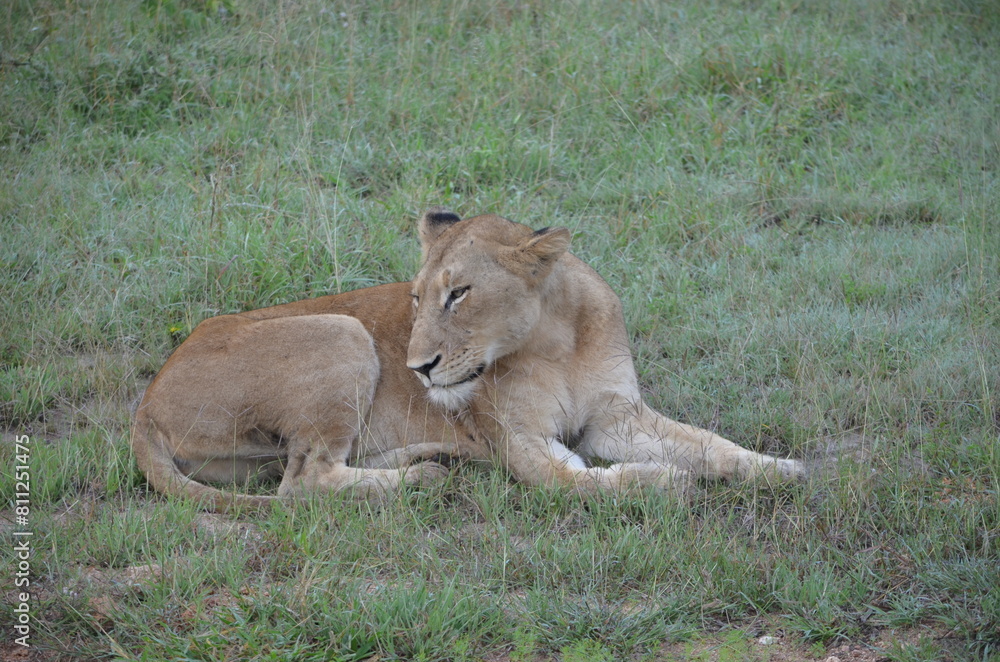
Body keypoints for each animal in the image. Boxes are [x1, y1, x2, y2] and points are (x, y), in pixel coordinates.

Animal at [132, 208, 803, 511]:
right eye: (416, 298)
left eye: (458, 294)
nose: (416, 368)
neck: (555, 341)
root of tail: (144, 405)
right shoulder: (521, 441)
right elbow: (575, 479)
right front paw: (663, 481)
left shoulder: (615, 414)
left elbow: (709, 442)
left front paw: (778, 469)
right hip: (342, 330)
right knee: (305, 481)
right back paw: (422, 478)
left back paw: (426, 459)